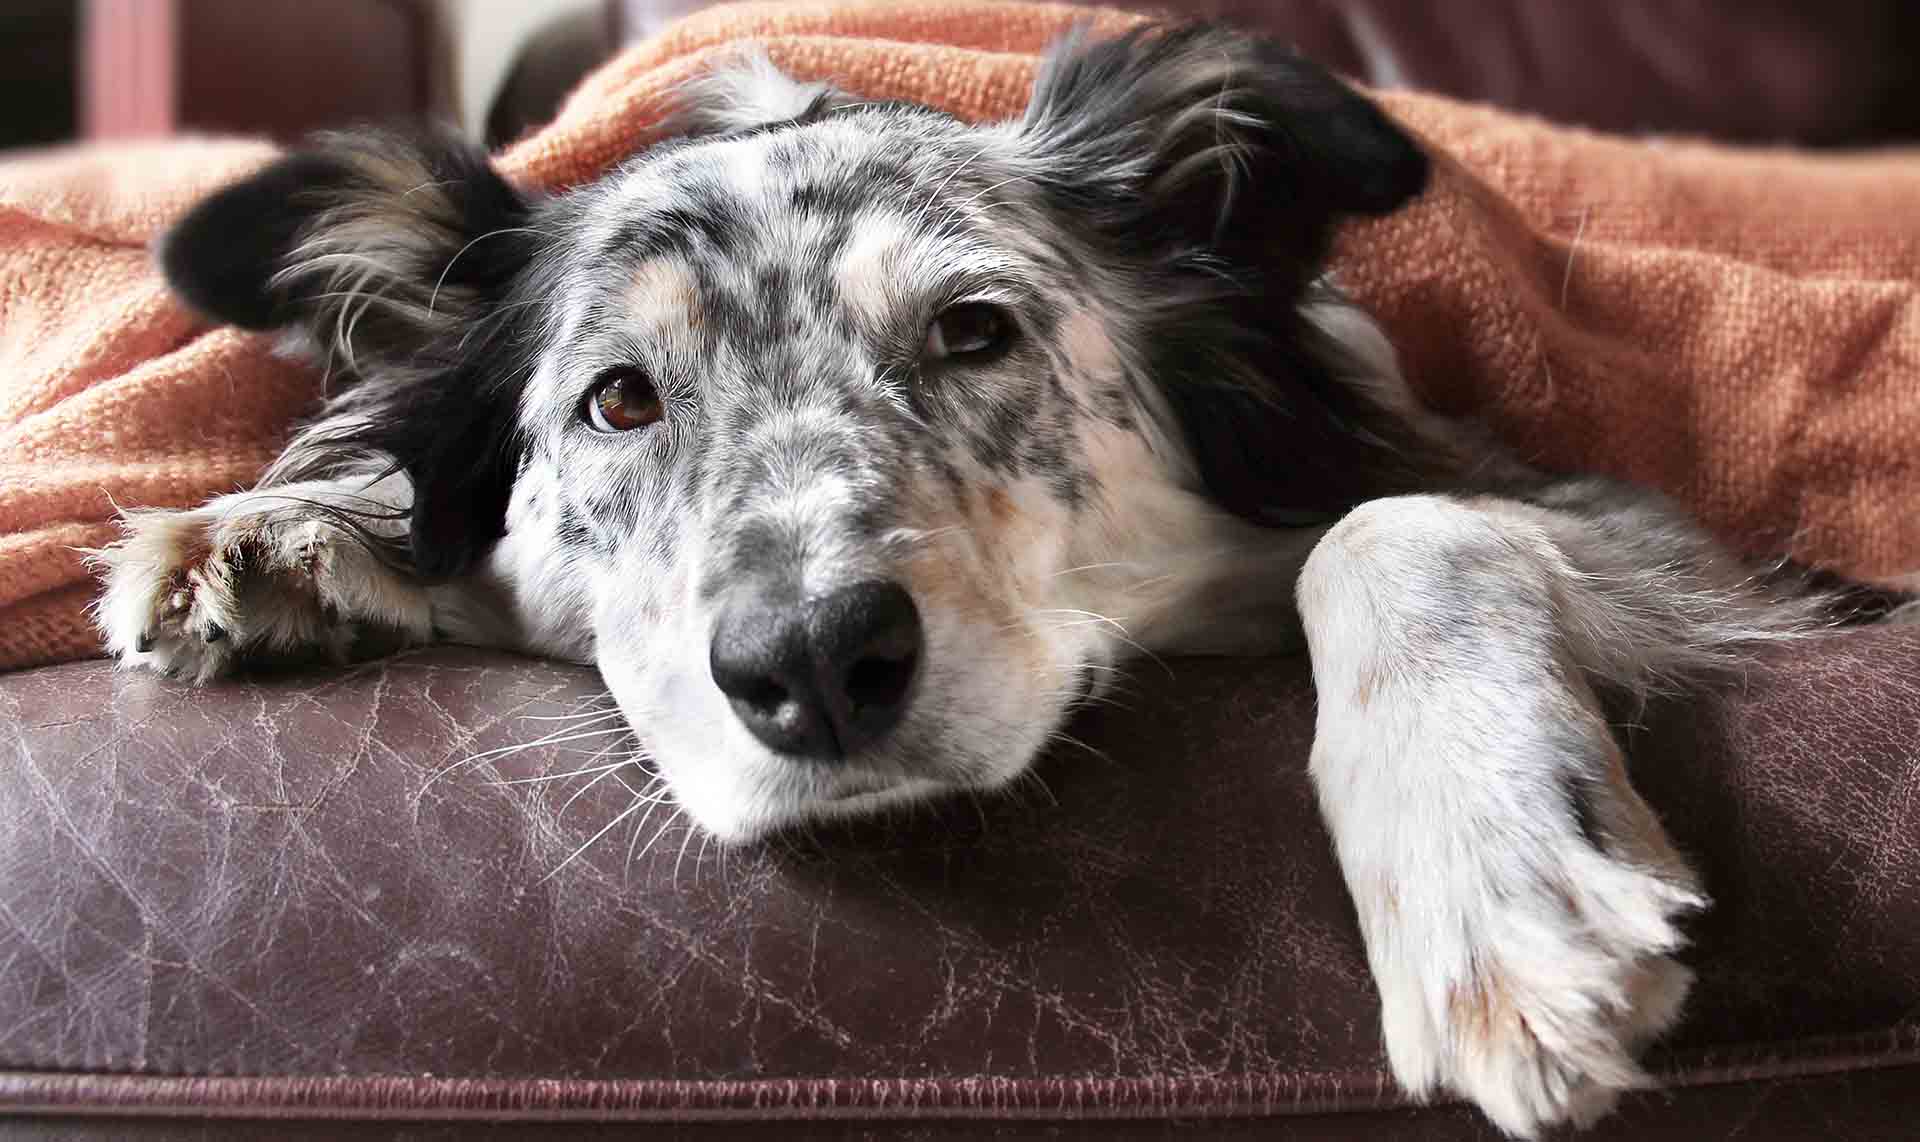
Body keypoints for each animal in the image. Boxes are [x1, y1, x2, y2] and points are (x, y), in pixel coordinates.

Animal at [86, 22, 1904, 1136]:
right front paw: (280, 530)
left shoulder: (1648, 528)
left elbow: (1396, 523)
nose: (814, 661)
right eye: (620, 400)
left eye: (974, 330)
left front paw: (1491, 879)